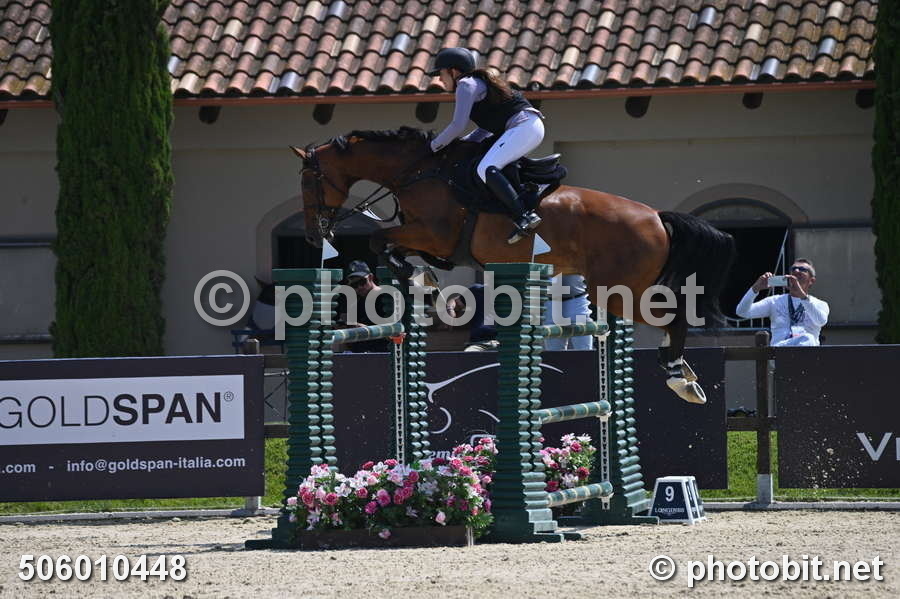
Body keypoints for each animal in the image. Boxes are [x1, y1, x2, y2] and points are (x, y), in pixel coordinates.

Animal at [290, 127, 735, 404]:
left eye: (308, 182)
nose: (312, 235)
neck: (418, 171)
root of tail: (657, 217)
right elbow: (386, 244)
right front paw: (422, 279)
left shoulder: (433, 233)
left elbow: (379, 241)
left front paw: (417, 278)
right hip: (623, 289)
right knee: (672, 318)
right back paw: (683, 373)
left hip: (617, 291)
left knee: (674, 317)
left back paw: (679, 378)